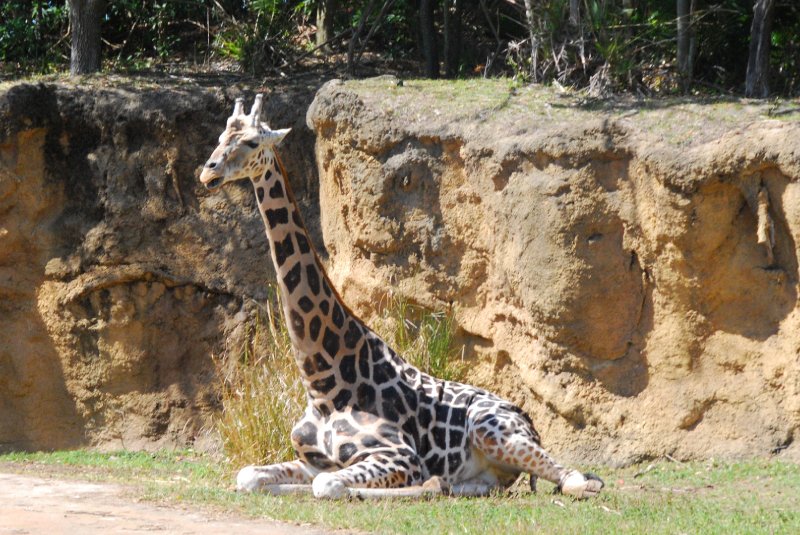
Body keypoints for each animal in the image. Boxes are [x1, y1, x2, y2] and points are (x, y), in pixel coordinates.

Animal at [198, 94, 600, 500]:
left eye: (252, 142)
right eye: (220, 137)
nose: (208, 172)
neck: (322, 386)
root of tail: (527, 419)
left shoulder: (398, 454)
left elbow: (328, 485)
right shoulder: (312, 459)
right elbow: (249, 476)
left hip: (491, 430)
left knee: (578, 480)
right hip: (484, 472)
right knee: (461, 487)